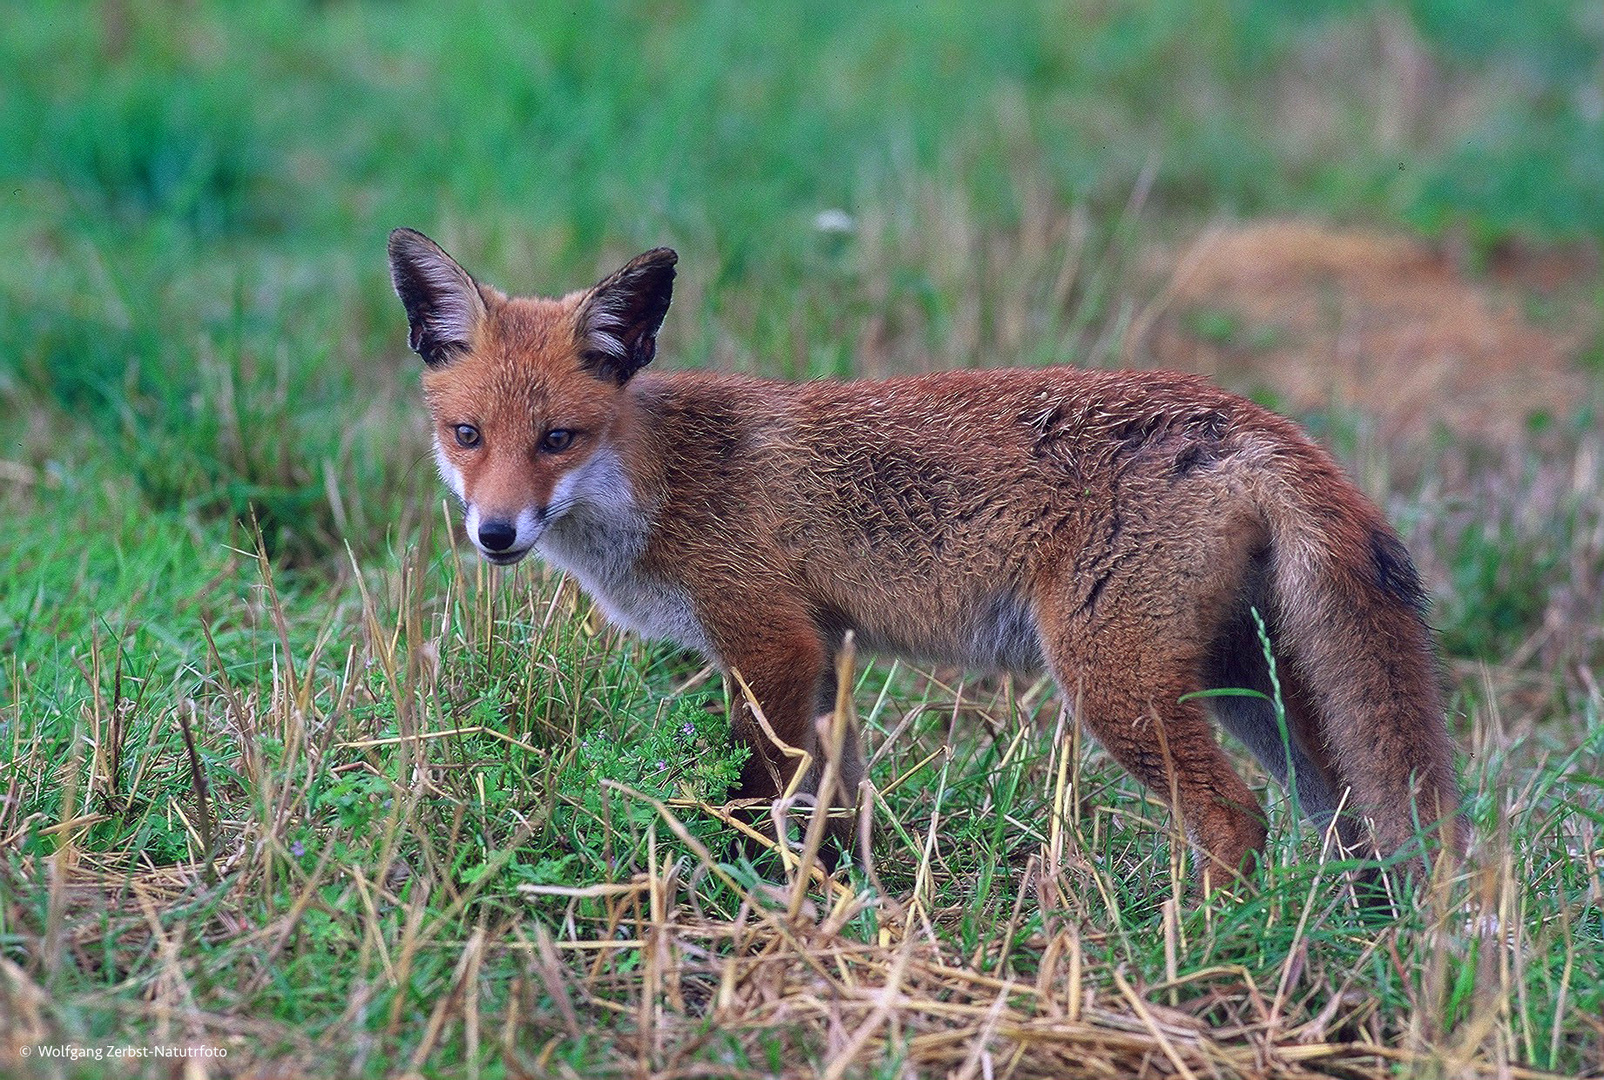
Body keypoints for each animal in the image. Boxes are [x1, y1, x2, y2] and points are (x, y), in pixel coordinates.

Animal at [388, 227, 1469, 885]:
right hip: (1249, 686)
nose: (495, 534)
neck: (666, 483)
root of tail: (1247, 420)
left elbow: (764, 793)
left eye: (558, 439)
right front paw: (850, 898)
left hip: (1117, 686)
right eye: (468, 435)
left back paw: (1197, 958)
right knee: (1354, 824)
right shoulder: (825, 654)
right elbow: (840, 799)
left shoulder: (770, 646)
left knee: (1237, 821)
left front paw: (759, 895)